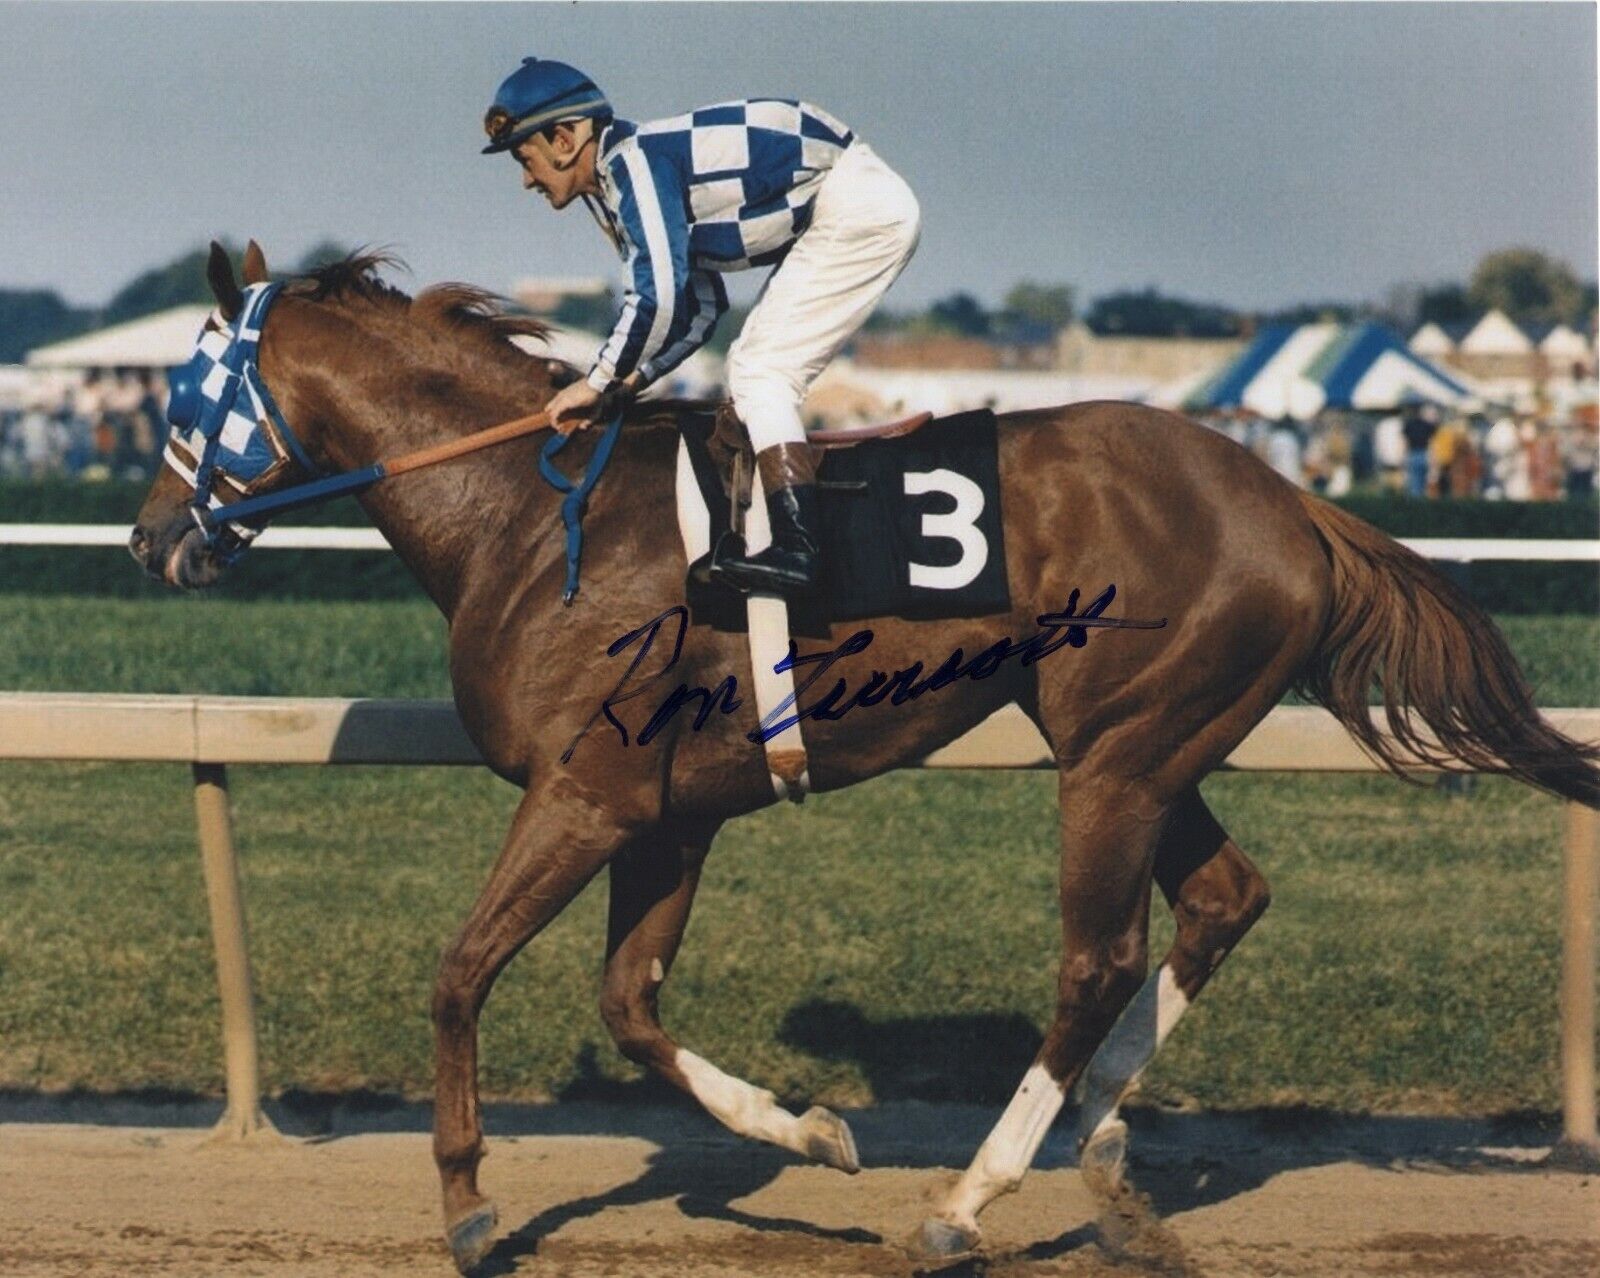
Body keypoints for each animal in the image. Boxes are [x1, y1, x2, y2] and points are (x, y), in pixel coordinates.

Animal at [131, 244, 1593, 1273]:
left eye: (189, 386)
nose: (149, 538)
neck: (527, 522)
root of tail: (1290, 498)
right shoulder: (668, 814)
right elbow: (630, 1002)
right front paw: (812, 1131)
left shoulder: (584, 796)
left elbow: (459, 973)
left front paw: (470, 1206)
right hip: (1143, 742)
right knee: (1223, 900)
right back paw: (1105, 1158)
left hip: (1116, 757)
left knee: (1098, 957)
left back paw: (969, 1198)